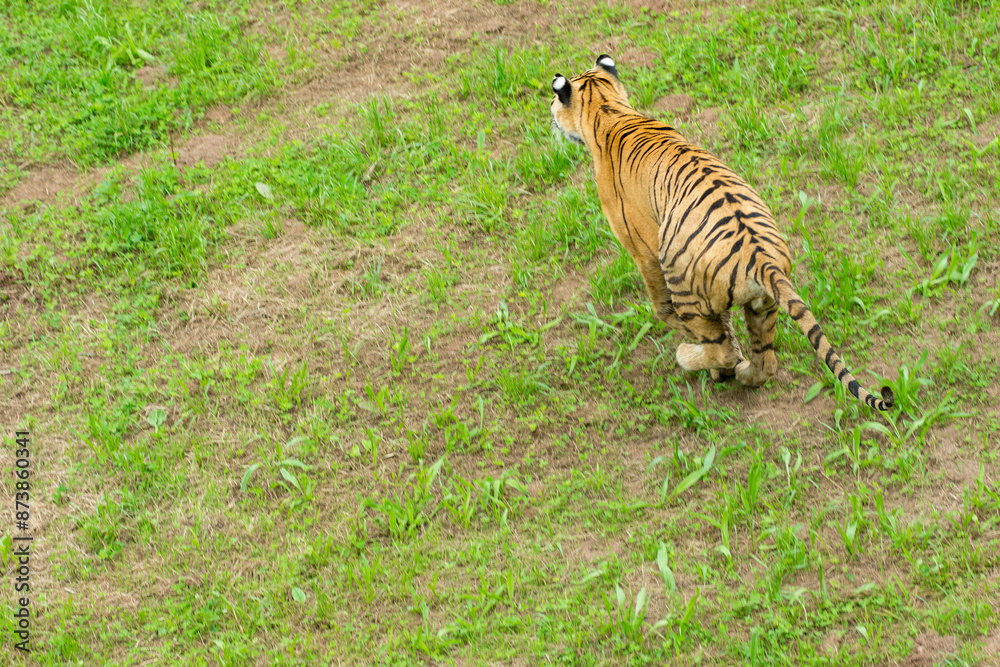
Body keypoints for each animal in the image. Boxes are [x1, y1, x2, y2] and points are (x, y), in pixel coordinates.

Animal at [550, 55, 895, 411]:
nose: (552, 115)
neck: (609, 109)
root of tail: (761, 258)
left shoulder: (641, 247)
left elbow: (662, 306)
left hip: (685, 288)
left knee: (721, 348)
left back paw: (694, 358)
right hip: (763, 305)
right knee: (765, 361)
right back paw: (744, 372)